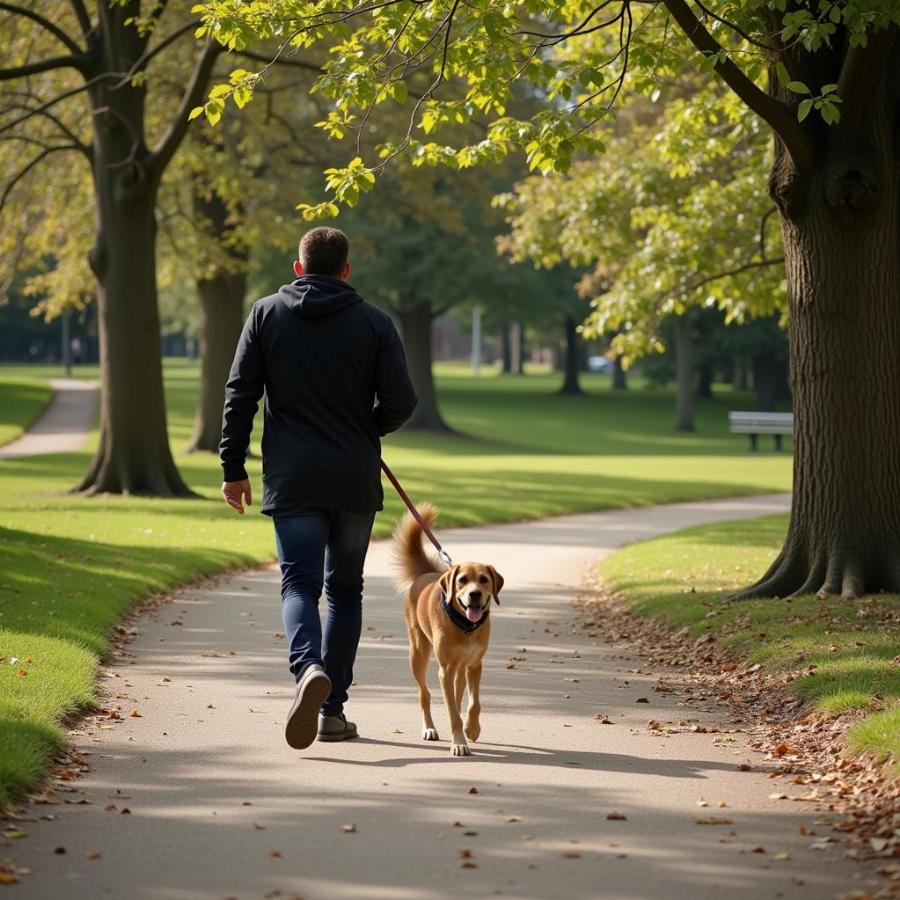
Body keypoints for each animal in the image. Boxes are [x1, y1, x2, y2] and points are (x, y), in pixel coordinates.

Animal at [394, 502, 506, 756]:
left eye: (484, 579)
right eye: (462, 580)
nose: (474, 594)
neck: (465, 626)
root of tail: (426, 574)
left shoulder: (475, 666)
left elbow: (474, 704)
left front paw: (471, 729)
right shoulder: (444, 669)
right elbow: (452, 710)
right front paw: (459, 742)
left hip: (459, 668)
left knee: (457, 693)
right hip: (418, 653)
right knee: (424, 694)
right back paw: (429, 728)